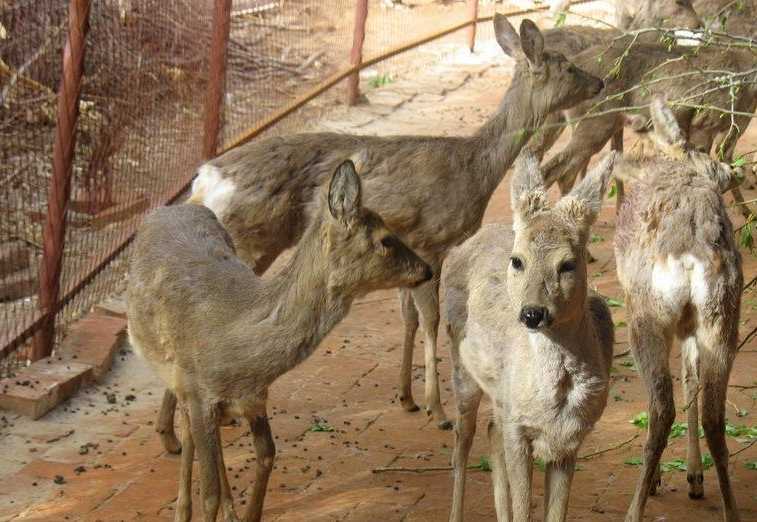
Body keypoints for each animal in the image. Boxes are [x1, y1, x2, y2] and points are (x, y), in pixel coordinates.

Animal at [128, 159, 432, 520]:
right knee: (191, 434)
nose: (427, 270)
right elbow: (210, 493)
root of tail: (171, 208)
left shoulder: (254, 397)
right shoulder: (199, 391)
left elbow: (266, 455)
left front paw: (245, 514)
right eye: (387, 240)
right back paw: (184, 506)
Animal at [154, 14, 604, 448]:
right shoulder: (431, 240)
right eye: (568, 65)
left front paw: (406, 397)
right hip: (250, 239)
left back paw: (174, 433)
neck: (475, 168)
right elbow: (430, 319)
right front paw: (436, 410)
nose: (600, 82)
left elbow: (408, 317)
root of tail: (204, 179)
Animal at [442, 150, 616, 520]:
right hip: (460, 363)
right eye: (517, 260)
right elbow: (524, 508)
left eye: (568, 264)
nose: (532, 313)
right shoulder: (518, 428)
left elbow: (555, 513)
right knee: (463, 440)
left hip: (499, 397)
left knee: (490, 431)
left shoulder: (571, 439)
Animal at [612, 96, 740, 520]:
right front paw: (693, 477)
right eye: (703, 152)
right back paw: (729, 508)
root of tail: (689, 255)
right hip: (722, 315)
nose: (732, 170)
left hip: (645, 317)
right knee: (714, 414)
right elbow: (691, 376)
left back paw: (636, 504)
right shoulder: (689, 325)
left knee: (660, 407)